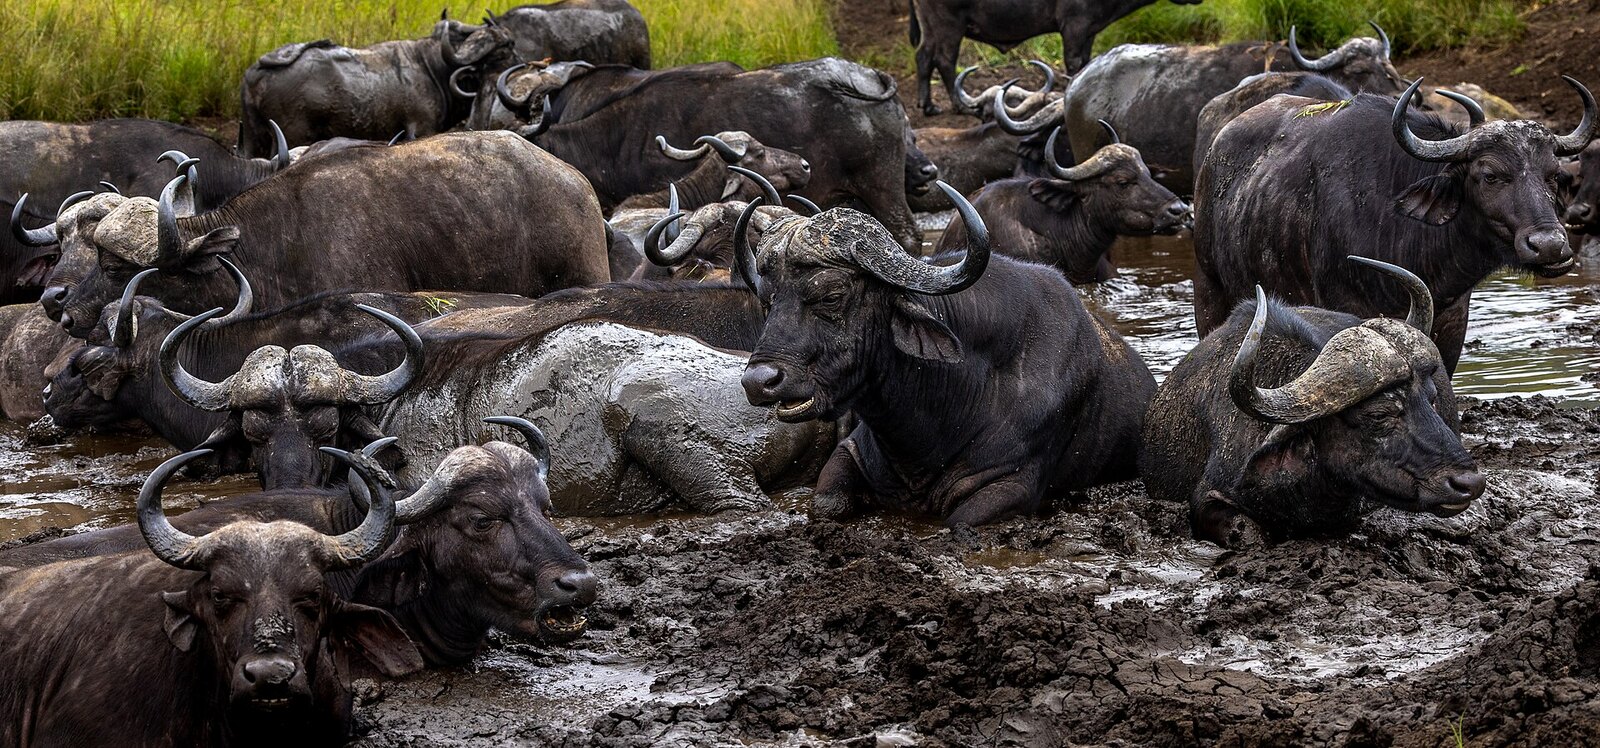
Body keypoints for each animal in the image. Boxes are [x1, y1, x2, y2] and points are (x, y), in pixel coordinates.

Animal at [737, 183, 1156, 526]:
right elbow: (826, 503)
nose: (759, 382)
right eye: (768, 300)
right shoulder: (851, 449)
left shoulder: (1011, 483)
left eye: (831, 296)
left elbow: (958, 521)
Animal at [908, 0, 1203, 115]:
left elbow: (1085, 60)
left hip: (931, 27)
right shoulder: (1074, 27)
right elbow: (1074, 61)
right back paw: (959, 105)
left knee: (923, 57)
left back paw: (928, 105)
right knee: (944, 60)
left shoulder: (1089, 31)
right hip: (948, 26)